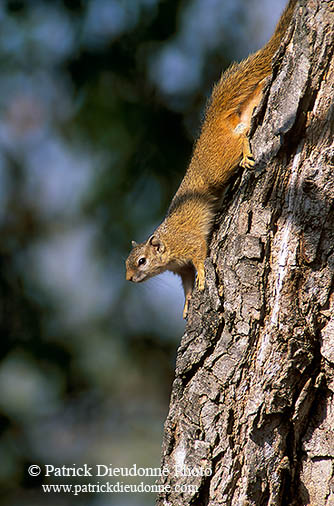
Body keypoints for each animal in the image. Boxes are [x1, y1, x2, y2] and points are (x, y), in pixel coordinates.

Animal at [126, 0, 298, 318]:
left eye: (142, 261)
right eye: (127, 261)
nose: (130, 278)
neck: (167, 248)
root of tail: (212, 125)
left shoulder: (189, 245)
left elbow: (201, 258)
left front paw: (204, 278)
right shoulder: (180, 270)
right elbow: (186, 285)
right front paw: (187, 303)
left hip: (219, 164)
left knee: (240, 140)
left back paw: (246, 152)